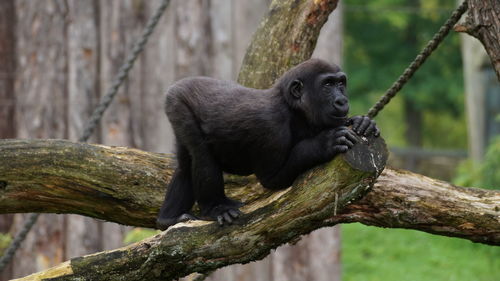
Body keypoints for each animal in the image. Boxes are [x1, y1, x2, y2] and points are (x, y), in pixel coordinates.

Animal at [156, 58, 378, 229]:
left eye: (341, 83)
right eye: (327, 85)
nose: (342, 101)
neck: (293, 108)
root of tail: (180, 83)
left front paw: (362, 122)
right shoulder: (271, 126)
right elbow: (271, 179)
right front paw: (325, 143)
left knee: (186, 163)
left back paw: (168, 218)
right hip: (177, 102)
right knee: (200, 154)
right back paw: (215, 207)